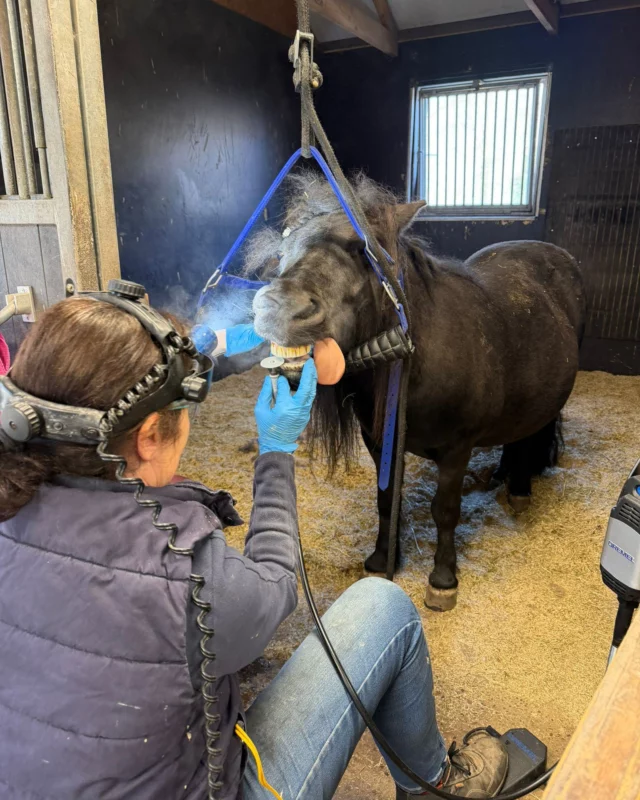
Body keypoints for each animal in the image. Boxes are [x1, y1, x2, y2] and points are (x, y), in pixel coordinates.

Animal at [247, 173, 586, 610]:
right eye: (283, 249)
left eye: (364, 251)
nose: (279, 310)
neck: (419, 359)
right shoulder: (380, 442)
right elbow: (386, 498)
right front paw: (381, 559)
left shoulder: (457, 449)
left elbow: (445, 511)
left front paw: (443, 579)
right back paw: (505, 474)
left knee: (535, 431)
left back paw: (520, 488)